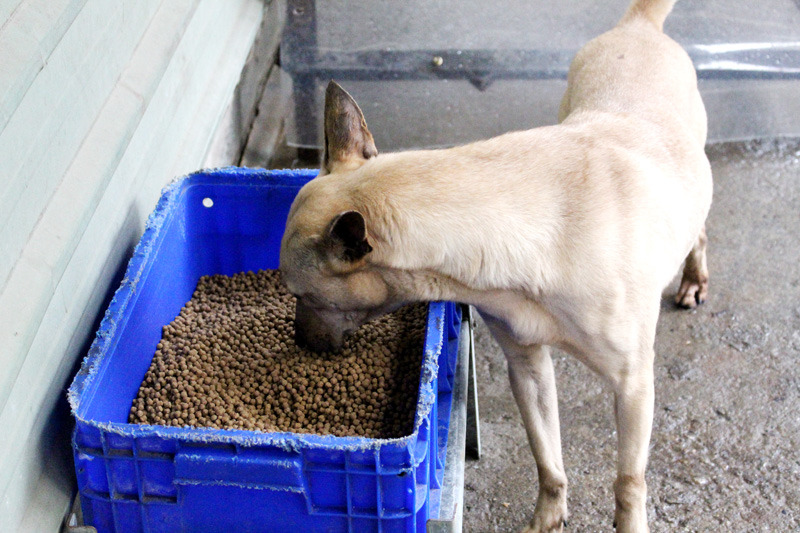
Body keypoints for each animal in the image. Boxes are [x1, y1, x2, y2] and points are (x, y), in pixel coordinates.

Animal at [280, 1, 712, 528]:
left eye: (304, 295)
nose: (301, 342)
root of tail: (640, 25)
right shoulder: (527, 367)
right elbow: (548, 460)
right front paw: (547, 519)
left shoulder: (633, 386)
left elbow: (629, 481)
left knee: (699, 229)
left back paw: (694, 280)